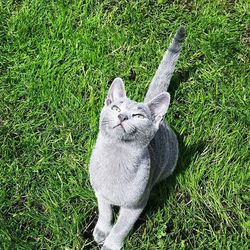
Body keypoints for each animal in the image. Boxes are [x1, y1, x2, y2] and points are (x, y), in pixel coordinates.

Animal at [89, 26, 185, 249]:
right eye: (116, 108)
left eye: (139, 116)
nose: (122, 116)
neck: (116, 157)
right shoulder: (100, 193)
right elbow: (105, 213)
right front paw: (101, 232)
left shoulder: (136, 205)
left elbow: (121, 227)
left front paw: (111, 244)